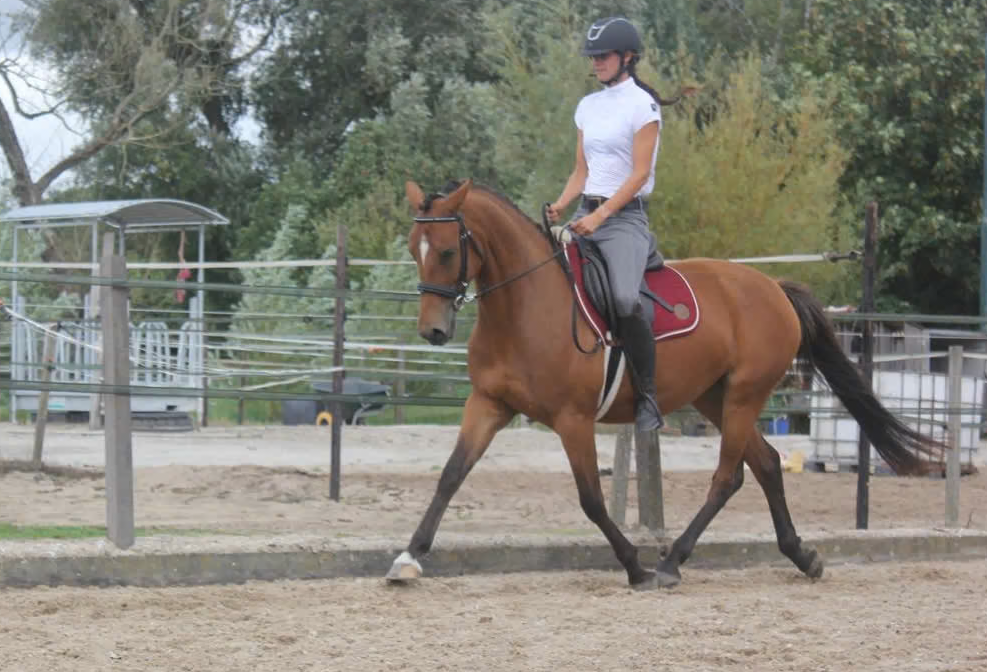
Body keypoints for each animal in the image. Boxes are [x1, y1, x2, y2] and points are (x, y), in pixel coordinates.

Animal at [385, 178, 941, 590]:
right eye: (415, 251)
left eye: (446, 252)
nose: (431, 332)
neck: (522, 306)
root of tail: (772, 287)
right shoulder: (488, 404)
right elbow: (450, 475)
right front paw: (409, 557)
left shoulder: (573, 419)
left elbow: (591, 499)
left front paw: (635, 566)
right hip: (716, 397)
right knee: (766, 465)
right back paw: (800, 555)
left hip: (744, 396)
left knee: (730, 477)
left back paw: (673, 561)